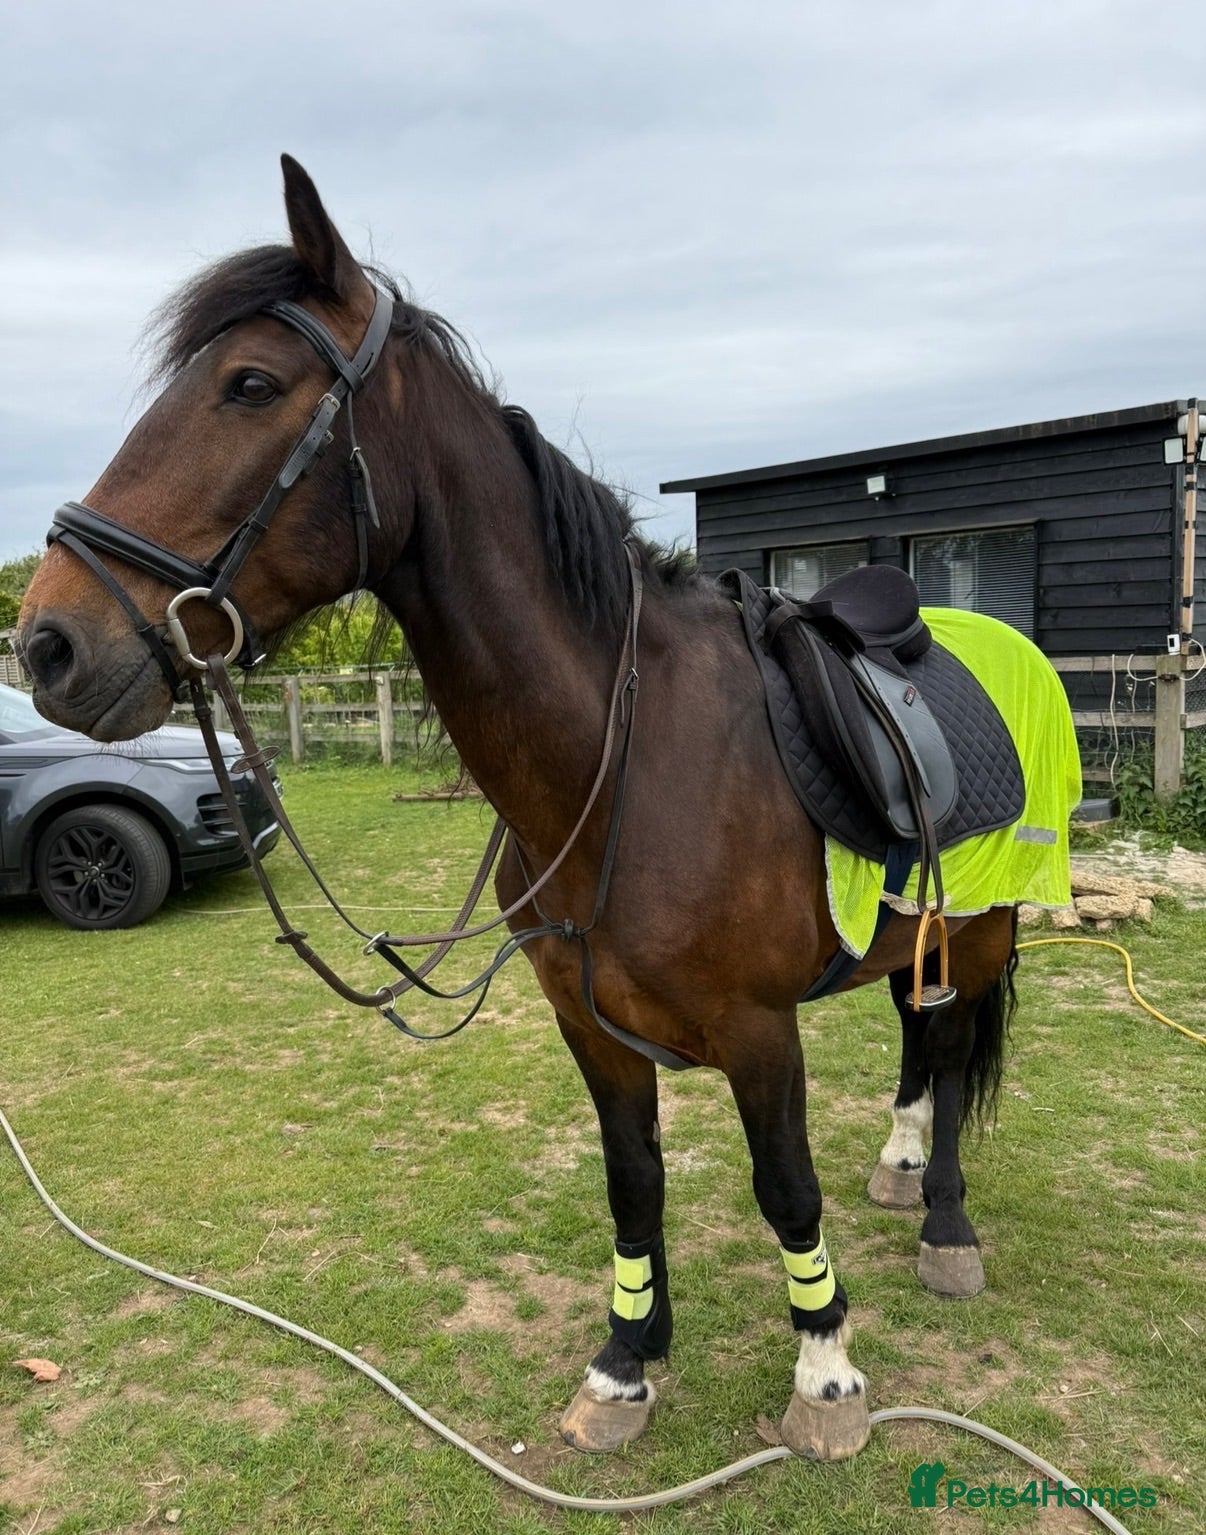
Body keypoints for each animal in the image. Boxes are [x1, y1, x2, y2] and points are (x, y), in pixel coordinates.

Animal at [18, 156, 1042, 1462]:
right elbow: (632, 1179)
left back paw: (945, 1223)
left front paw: (825, 1375)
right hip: (927, 925)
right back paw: (905, 1166)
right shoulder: (588, 1022)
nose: (48, 642)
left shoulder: (762, 1030)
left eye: (250, 384)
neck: (630, 763)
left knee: (952, 1058)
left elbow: (785, 1188)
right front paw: (625, 1363)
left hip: (991, 924)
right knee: (922, 1032)